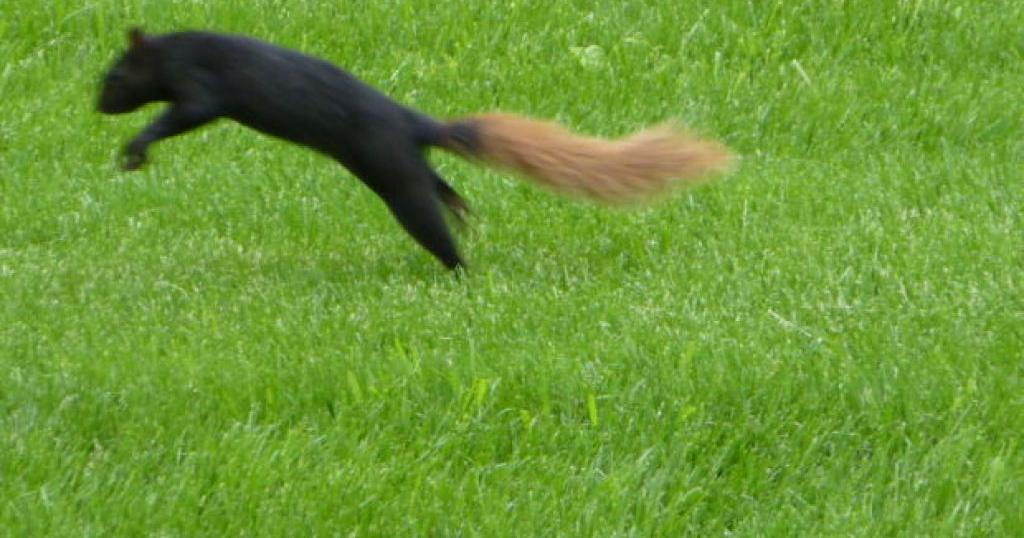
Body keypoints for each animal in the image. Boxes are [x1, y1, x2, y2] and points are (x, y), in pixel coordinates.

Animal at [98, 28, 733, 270]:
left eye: (115, 76)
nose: (97, 103)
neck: (174, 50)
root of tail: (415, 123)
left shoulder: (203, 86)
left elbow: (186, 113)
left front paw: (135, 147)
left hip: (392, 176)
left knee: (433, 222)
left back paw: (461, 268)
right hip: (395, 167)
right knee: (441, 185)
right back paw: (463, 212)